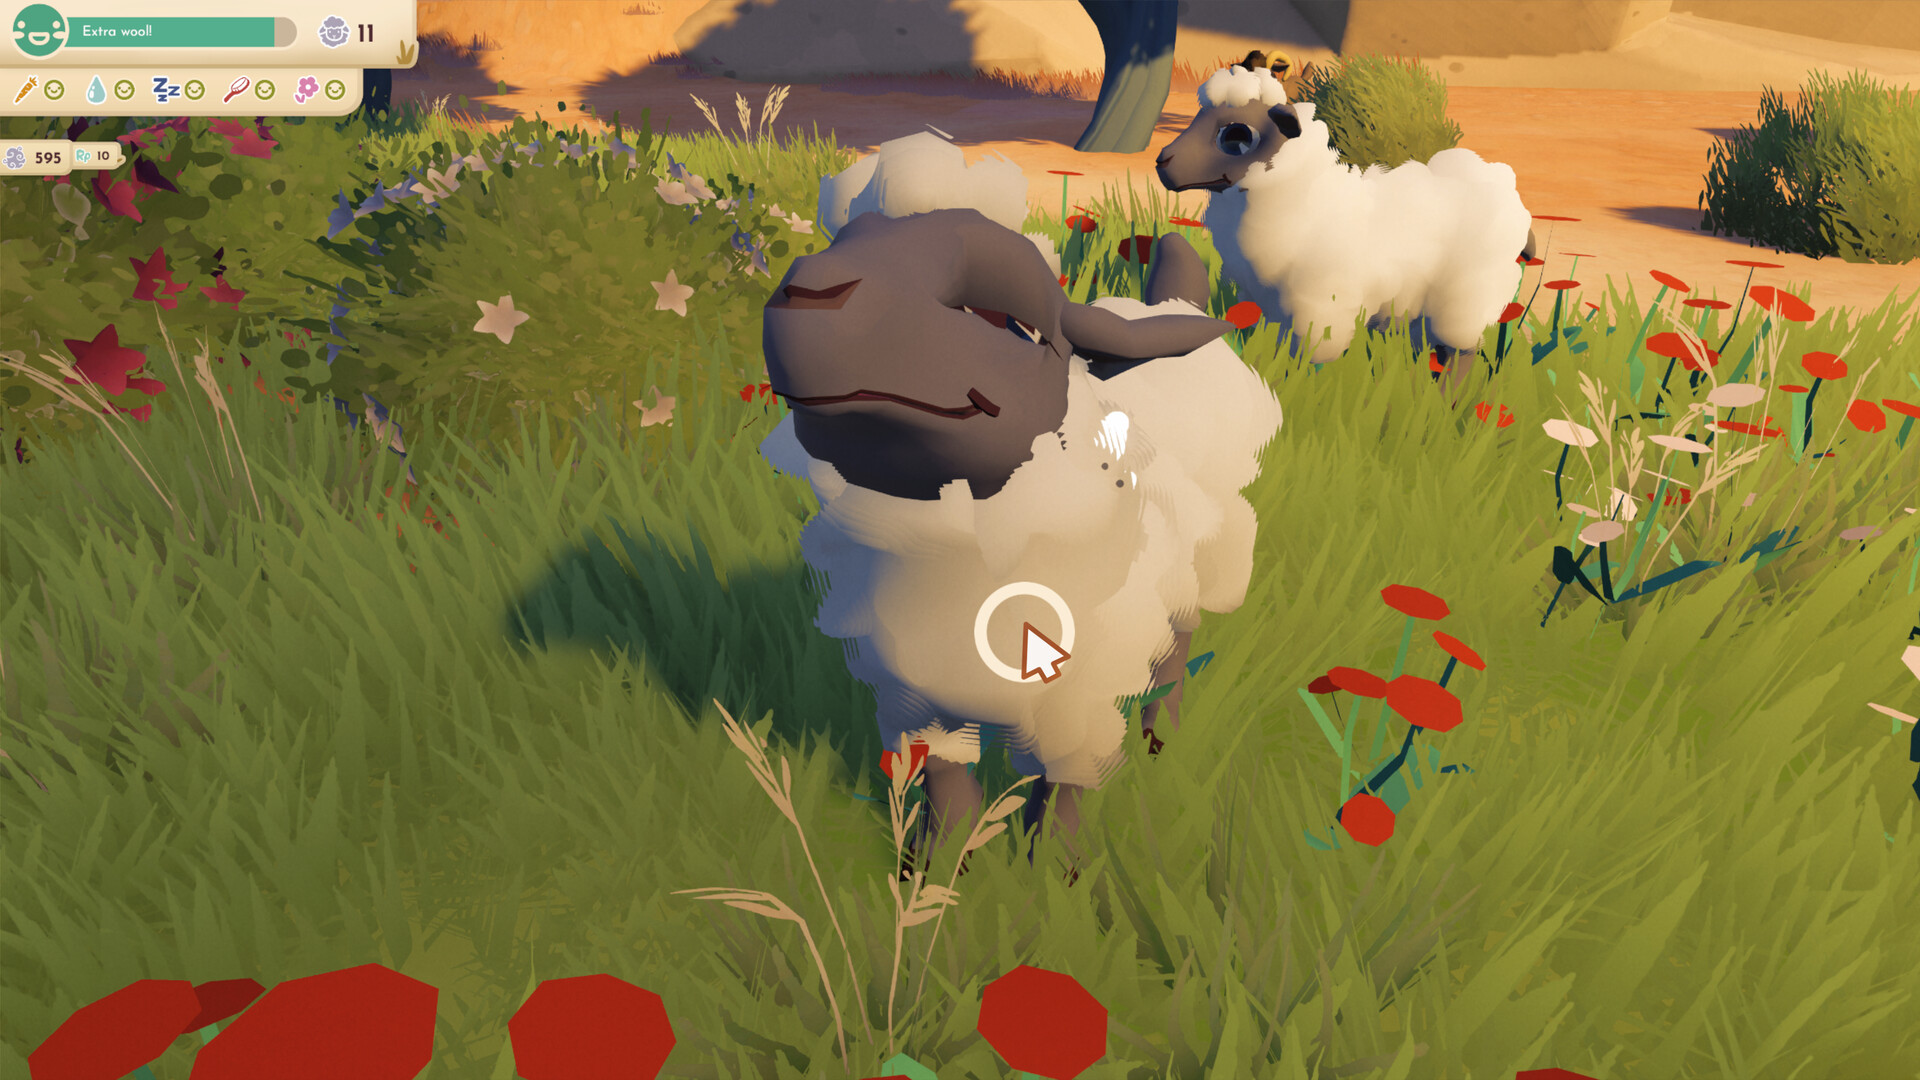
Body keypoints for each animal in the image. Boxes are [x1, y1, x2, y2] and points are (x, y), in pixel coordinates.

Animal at [759, 208, 1283, 863]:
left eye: (1008, 324)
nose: (810, 292)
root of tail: (1163, 306)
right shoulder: (913, 691)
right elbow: (947, 782)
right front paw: (933, 866)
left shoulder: (1079, 700)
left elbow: (1065, 784)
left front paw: (1053, 868)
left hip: (1208, 563)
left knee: (1177, 646)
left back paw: (1162, 734)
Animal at [1155, 64, 1537, 374]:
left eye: (1236, 134)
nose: (1162, 162)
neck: (1304, 196)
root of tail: (1509, 193)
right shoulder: (1269, 302)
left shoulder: (1322, 305)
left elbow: (1309, 361)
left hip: (1465, 301)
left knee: (1460, 354)